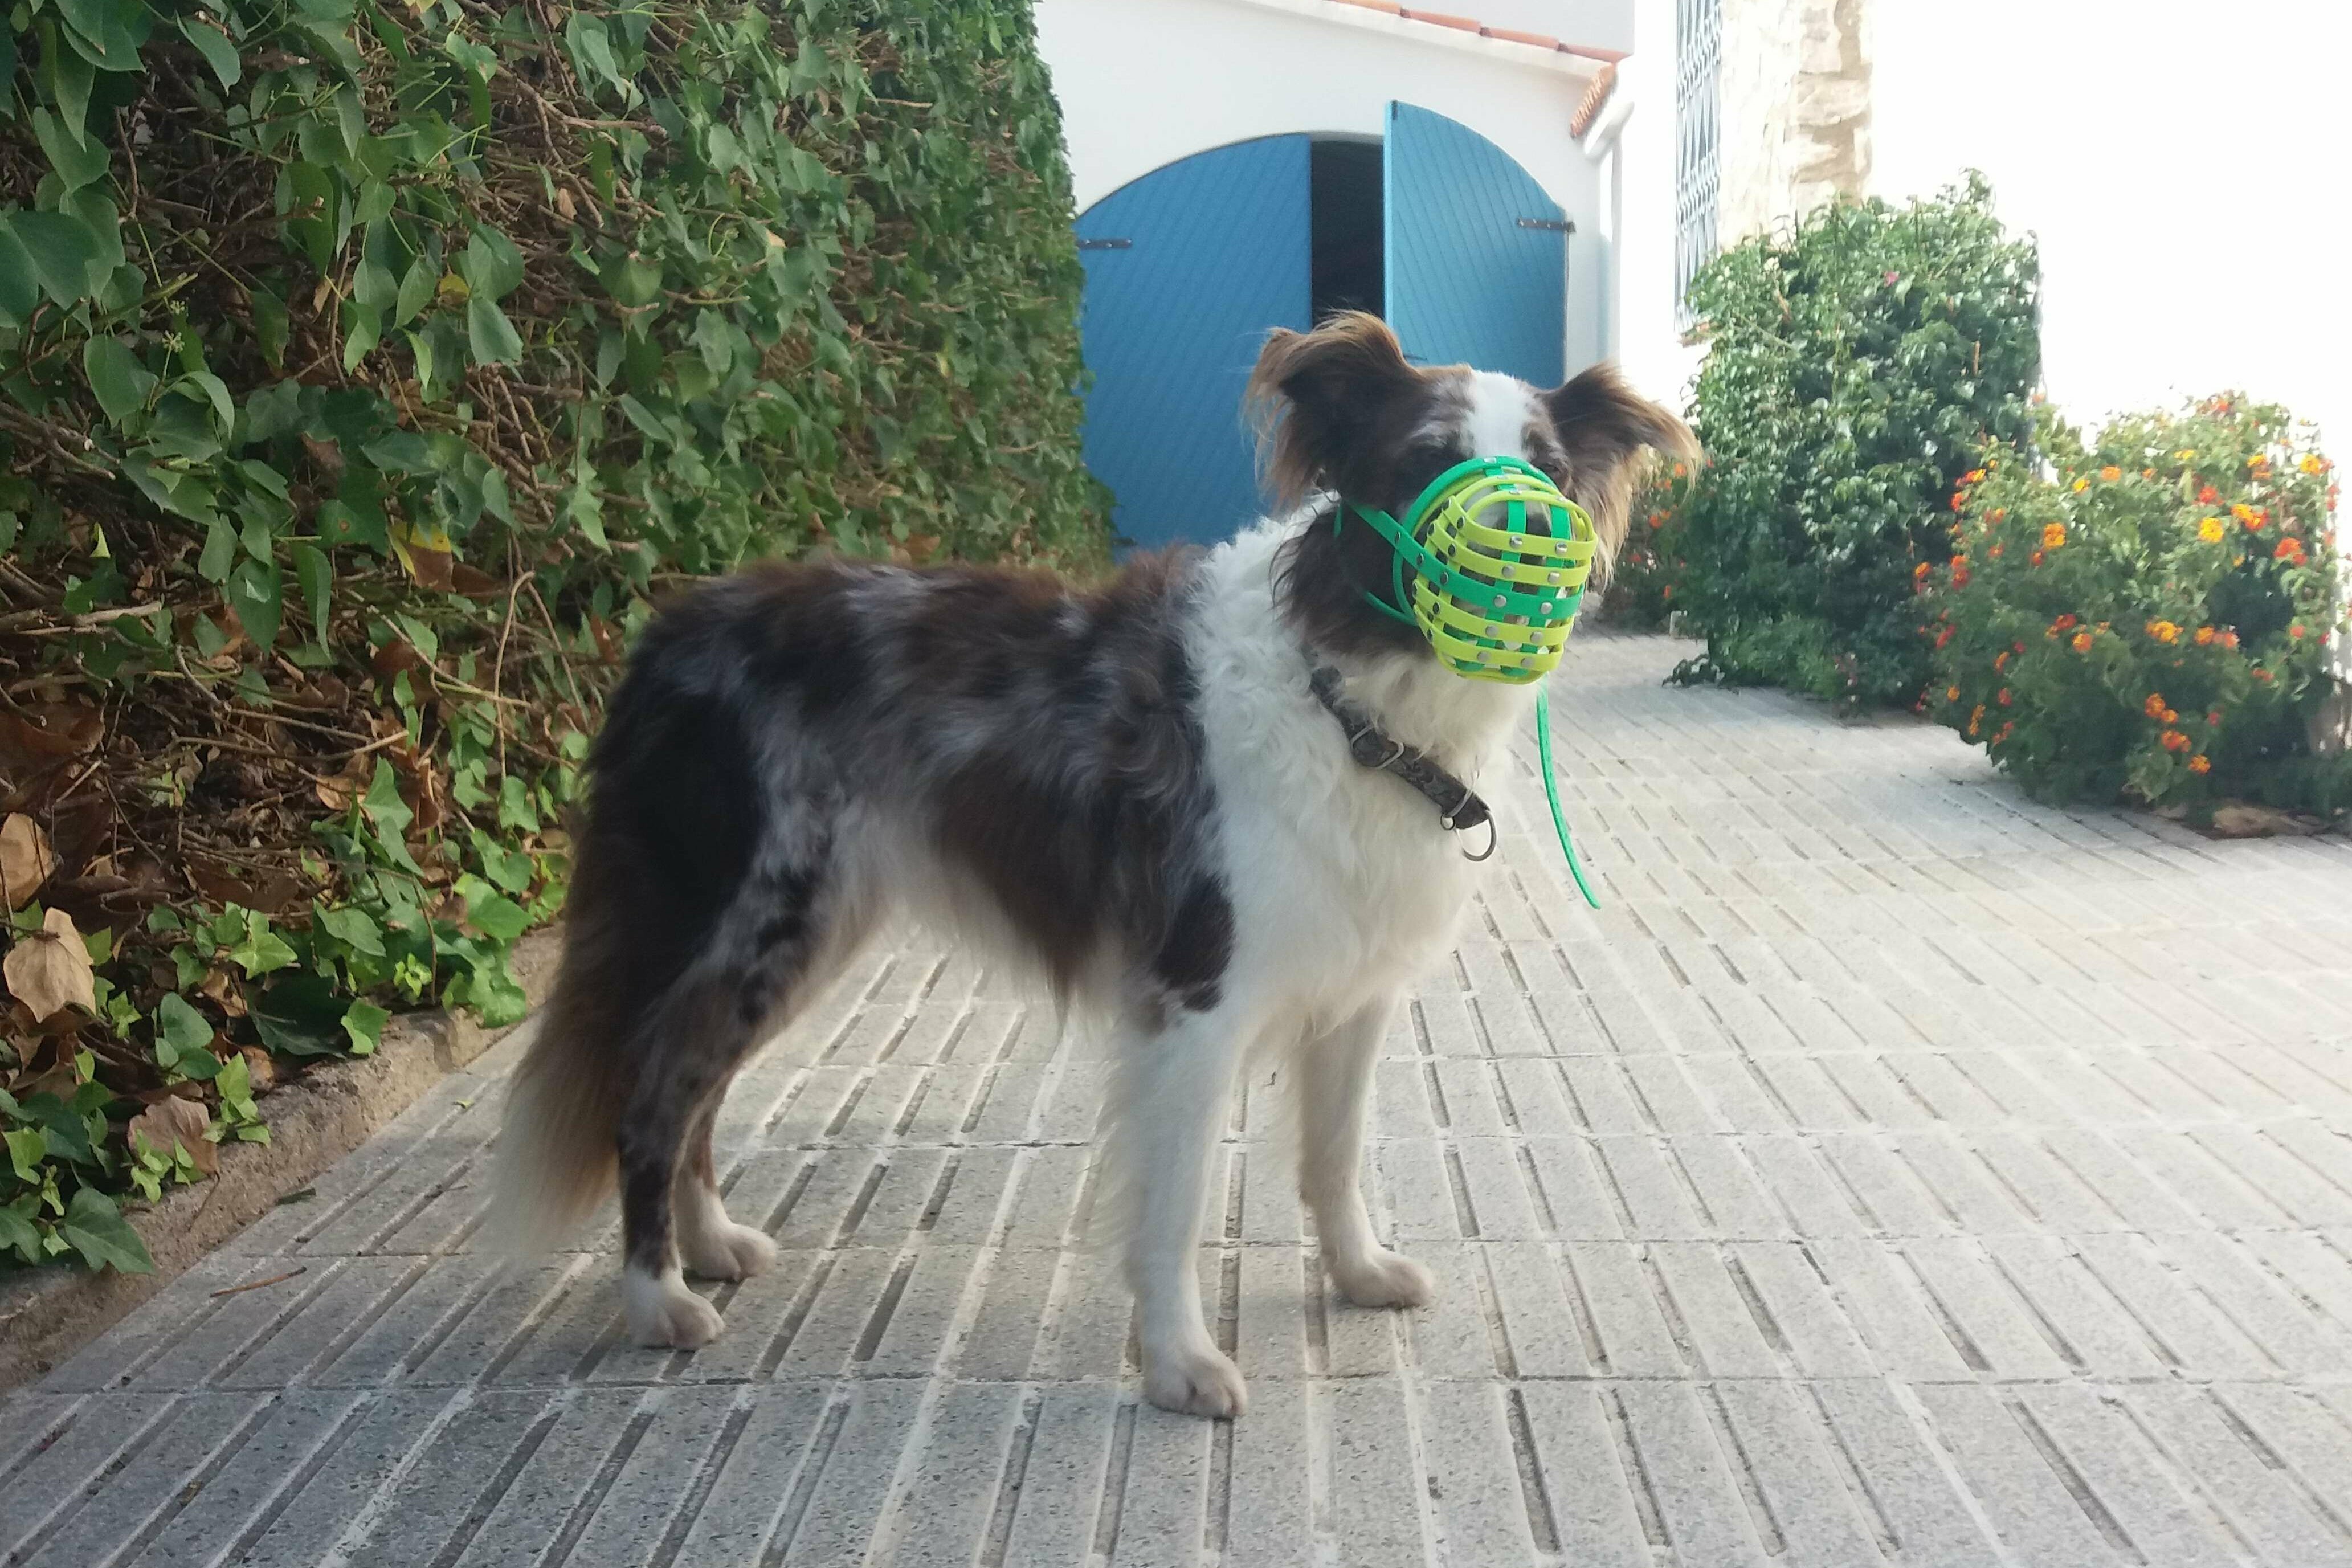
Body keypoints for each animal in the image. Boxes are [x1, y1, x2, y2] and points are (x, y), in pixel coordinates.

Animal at [496, 312, 1693, 1420]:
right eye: (1429, 459)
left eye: (1545, 468)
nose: (1530, 527)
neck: (1347, 694)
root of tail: (668, 630)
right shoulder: (1195, 995)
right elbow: (1177, 1204)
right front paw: (1179, 1363)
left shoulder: (1356, 984)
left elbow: (1334, 1153)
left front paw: (1355, 1275)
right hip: (750, 918)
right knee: (653, 1098)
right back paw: (655, 1297)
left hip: (805, 931)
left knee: (695, 1090)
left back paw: (709, 1244)